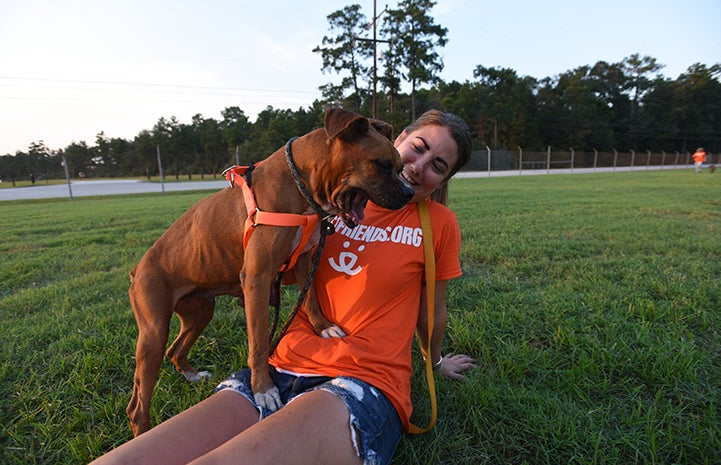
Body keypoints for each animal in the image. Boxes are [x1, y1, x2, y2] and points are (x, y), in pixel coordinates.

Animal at [126, 109, 414, 436]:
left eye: (401, 167)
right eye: (382, 164)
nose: (410, 193)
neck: (301, 182)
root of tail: (137, 268)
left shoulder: (304, 261)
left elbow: (310, 300)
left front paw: (323, 327)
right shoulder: (258, 280)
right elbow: (260, 342)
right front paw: (263, 389)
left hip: (199, 312)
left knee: (175, 350)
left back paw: (193, 376)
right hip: (153, 333)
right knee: (137, 403)